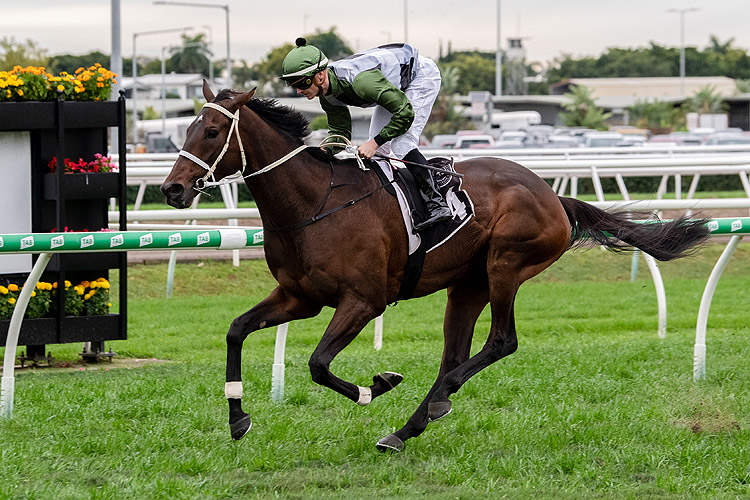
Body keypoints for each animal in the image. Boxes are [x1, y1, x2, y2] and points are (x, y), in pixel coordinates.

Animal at [160, 80, 712, 452]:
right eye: (187, 128)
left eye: (212, 130)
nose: (172, 189)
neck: (314, 203)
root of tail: (555, 196)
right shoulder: (300, 297)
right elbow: (236, 330)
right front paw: (238, 418)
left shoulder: (363, 301)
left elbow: (318, 364)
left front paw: (376, 385)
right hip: (466, 284)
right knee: (455, 353)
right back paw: (411, 426)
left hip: (505, 264)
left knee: (500, 342)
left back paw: (430, 405)